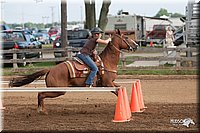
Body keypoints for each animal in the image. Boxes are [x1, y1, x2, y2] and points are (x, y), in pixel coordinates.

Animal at [9, 30, 138, 114]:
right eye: (126, 38)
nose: (136, 45)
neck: (106, 62)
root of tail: (51, 69)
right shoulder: (107, 84)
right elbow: (117, 91)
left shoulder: (109, 83)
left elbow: (120, 89)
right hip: (59, 90)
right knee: (41, 94)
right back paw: (42, 110)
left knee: (41, 94)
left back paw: (42, 110)